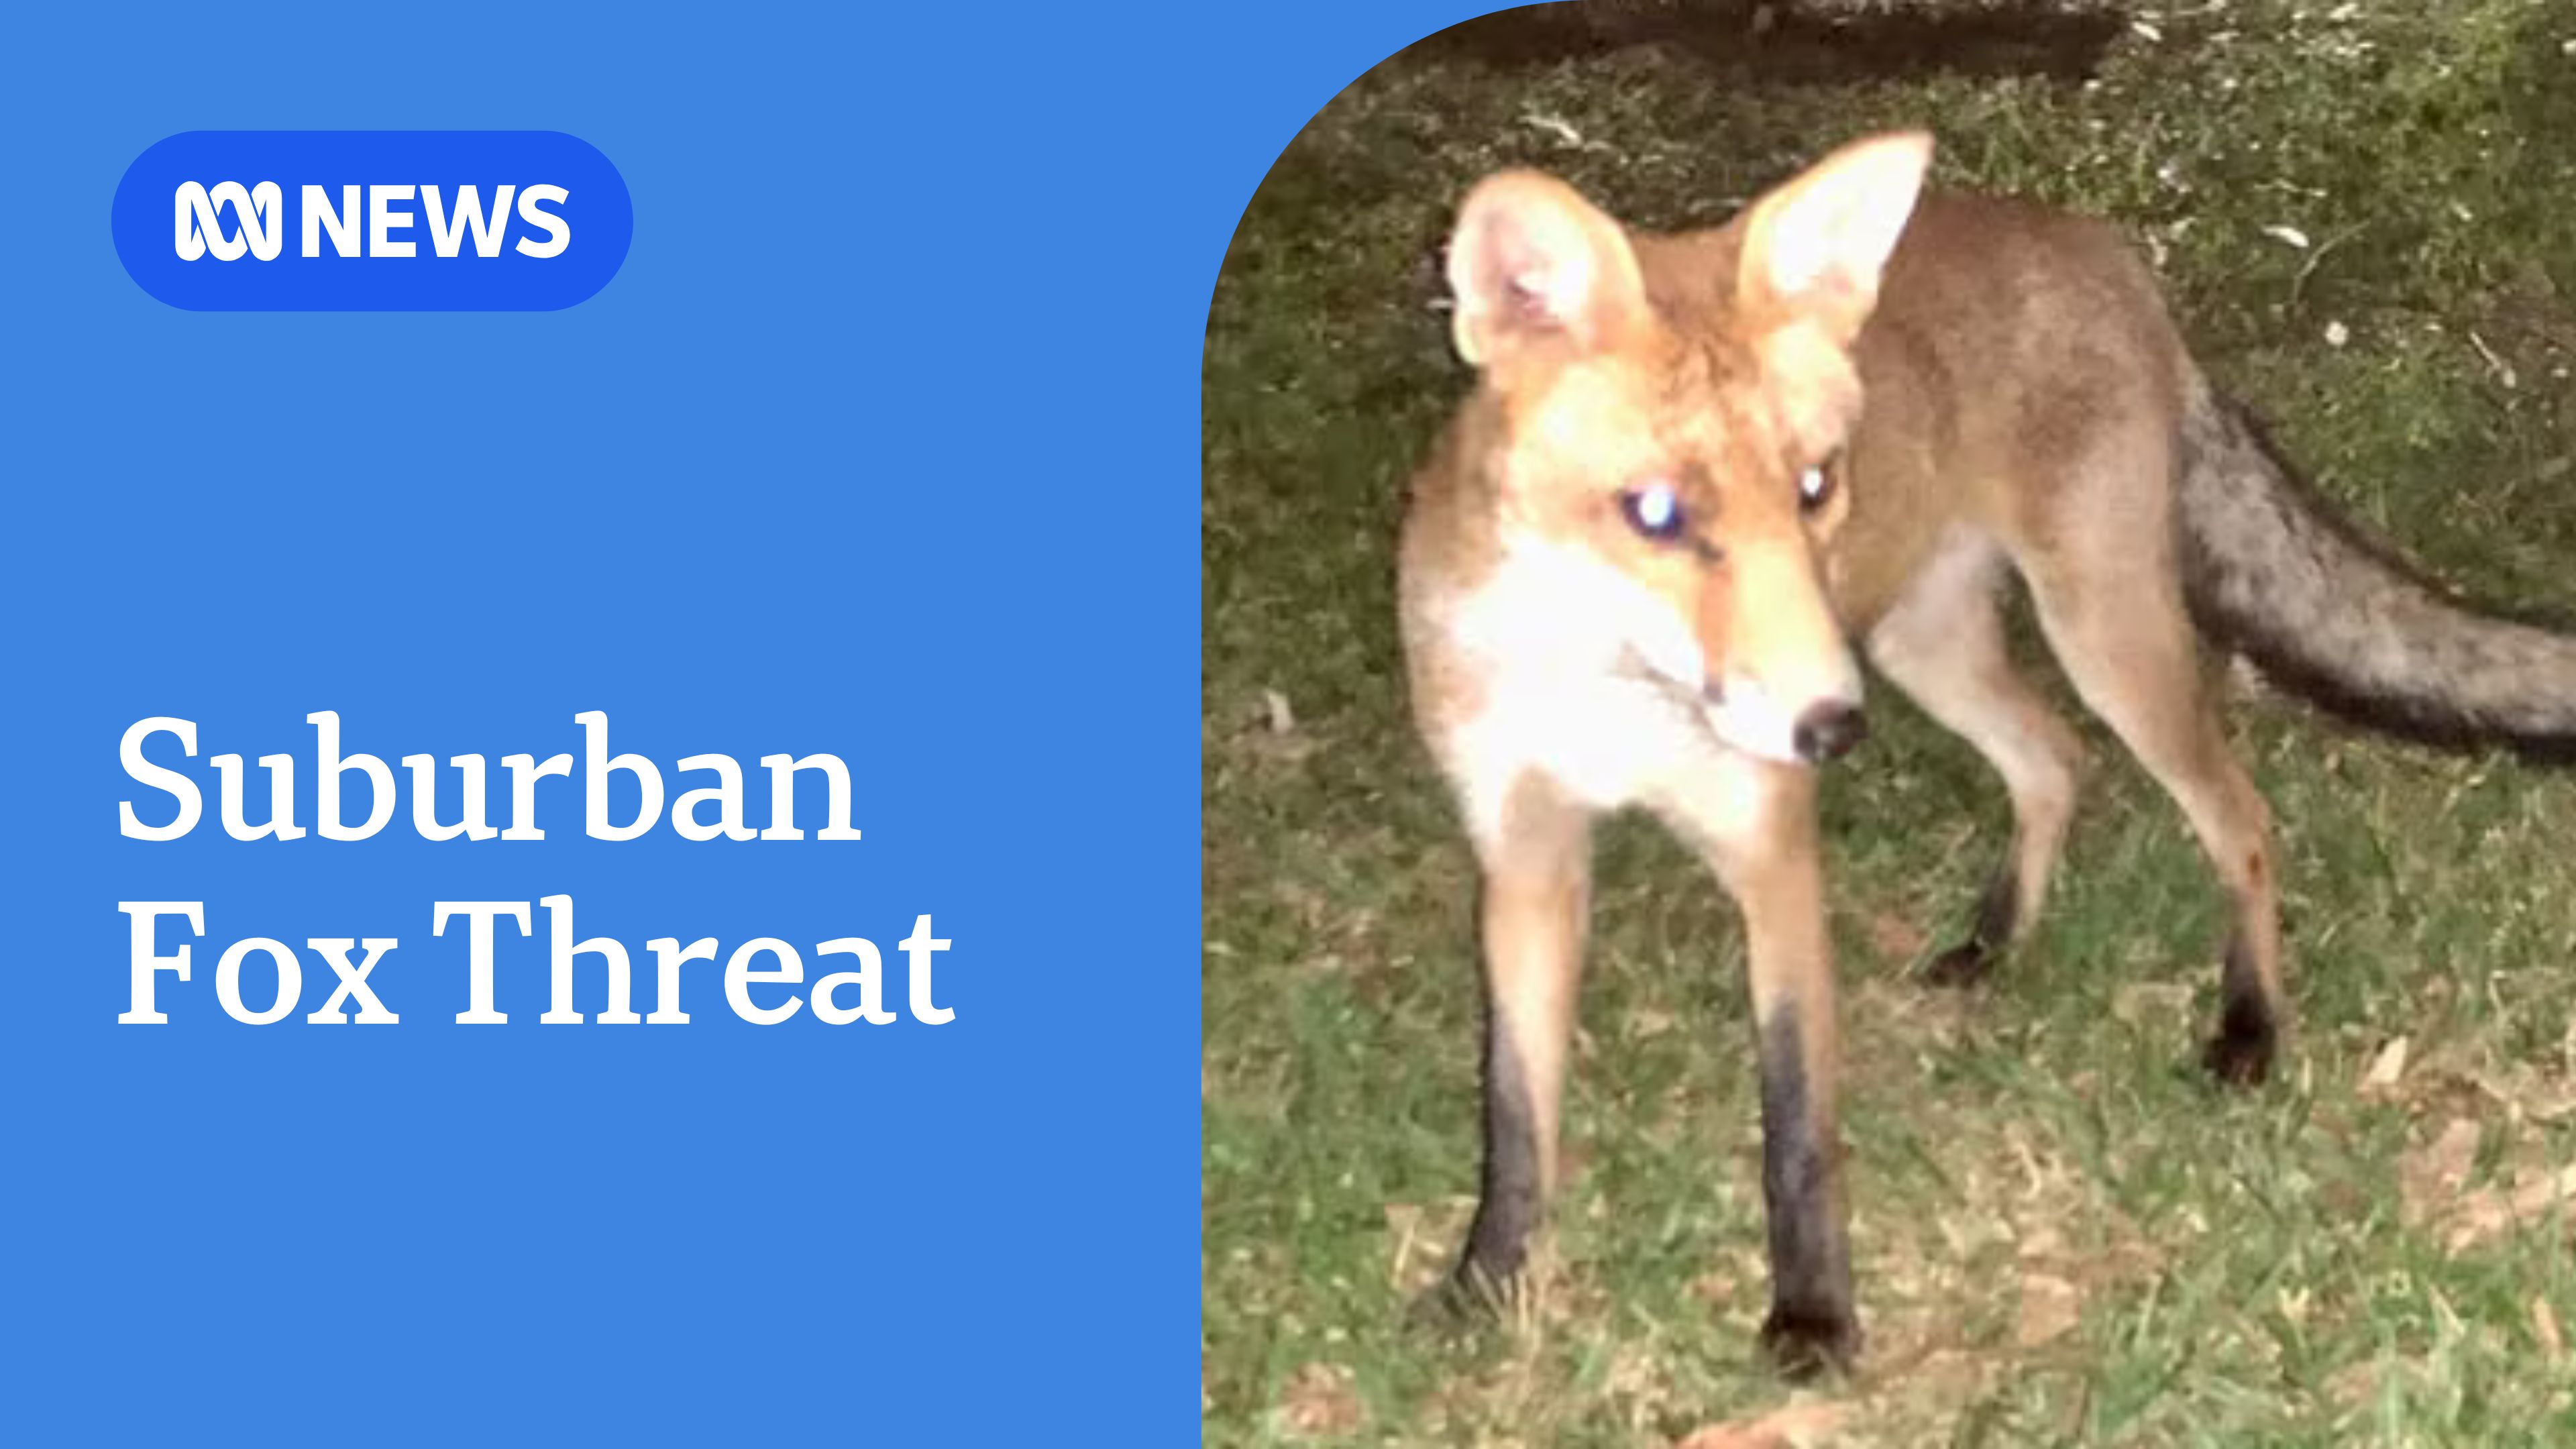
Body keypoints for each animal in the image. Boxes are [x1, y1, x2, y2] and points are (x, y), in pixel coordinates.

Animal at [1397, 130, 2576, 1375]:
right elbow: (1515, 1116)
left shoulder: (1773, 853)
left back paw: (2249, 1025)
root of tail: (2101, 245)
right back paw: (1998, 939)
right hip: (1922, 652)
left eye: (1814, 485)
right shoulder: (1525, 863)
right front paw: (1489, 1284)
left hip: (2096, 639)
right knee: (2054, 762)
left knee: (2239, 819)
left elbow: (1796, 1129)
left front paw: (1814, 1316)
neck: (1608, 687)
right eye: (1656, 513)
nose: (1832, 730)